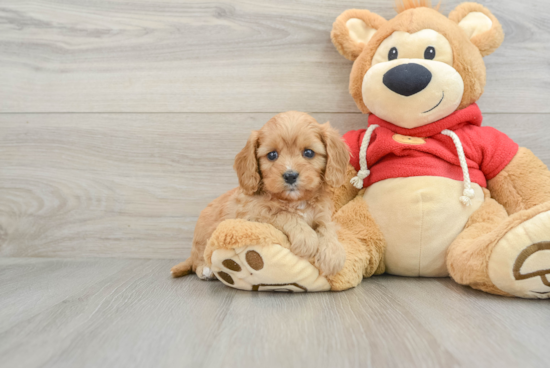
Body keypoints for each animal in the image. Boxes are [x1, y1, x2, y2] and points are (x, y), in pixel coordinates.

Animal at [172, 111, 352, 278]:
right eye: (272, 155)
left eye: (309, 153)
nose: (290, 176)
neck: (295, 201)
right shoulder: (256, 215)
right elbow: (284, 215)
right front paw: (306, 238)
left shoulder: (323, 215)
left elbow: (327, 228)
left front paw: (333, 255)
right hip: (202, 240)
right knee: (197, 260)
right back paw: (205, 269)